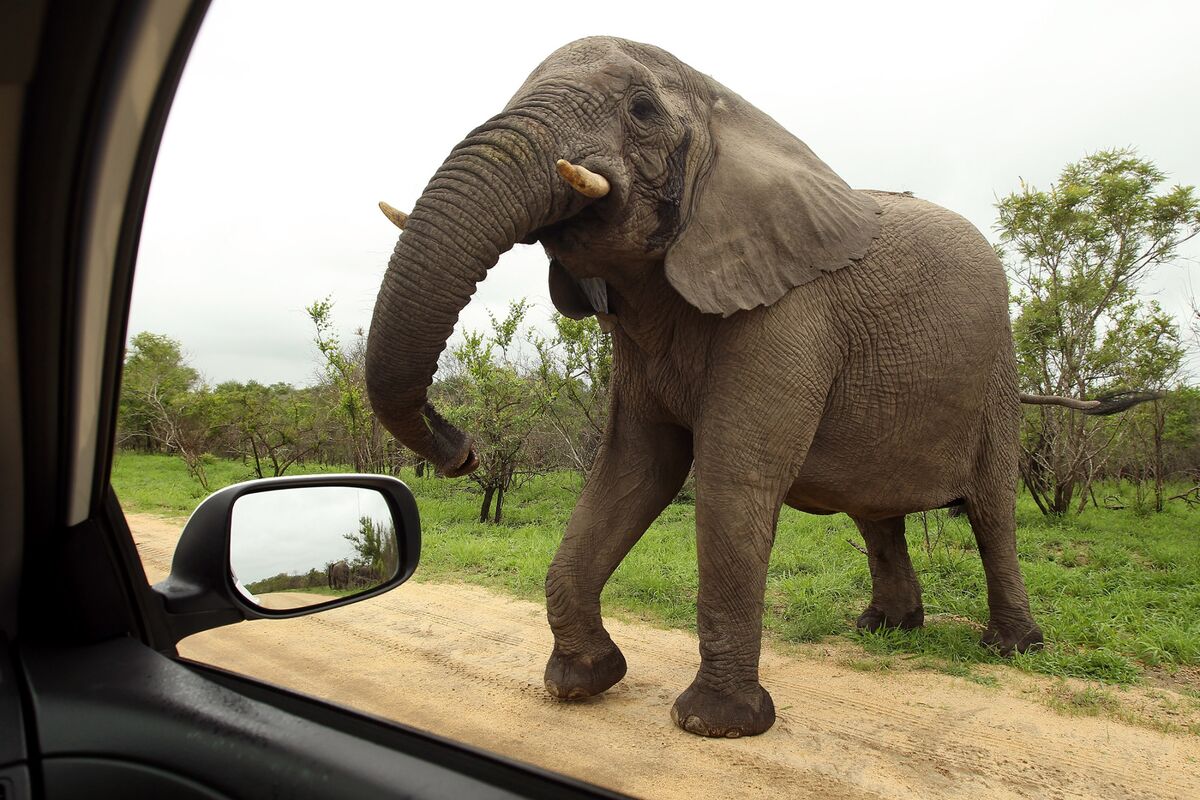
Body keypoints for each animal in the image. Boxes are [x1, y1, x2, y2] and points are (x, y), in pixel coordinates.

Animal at [362, 37, 1142, 738]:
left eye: (642, 109)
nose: (463, 449)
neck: (727, 109)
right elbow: (634, 469)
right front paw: (583, 682)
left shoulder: (790, 312)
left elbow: (733, 478)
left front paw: (716, 725)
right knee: (877, 512)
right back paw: (885, 631)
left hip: (994, 376)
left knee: (992, 510)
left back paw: (1011, 647)